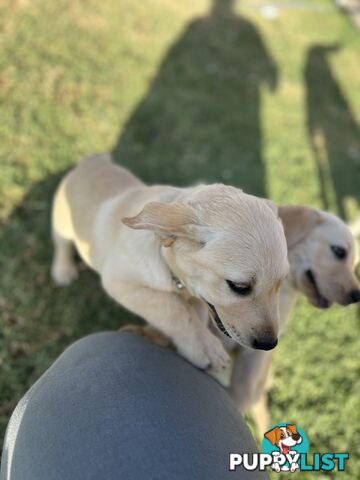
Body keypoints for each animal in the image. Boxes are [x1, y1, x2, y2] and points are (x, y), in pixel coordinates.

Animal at [50, 154, 288, 368]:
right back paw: (63, 270)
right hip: (62, 223)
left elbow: (194, 312)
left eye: (280, 284)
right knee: (62, 244)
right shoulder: (120, 282)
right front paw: (203, 346)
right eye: (239, 287)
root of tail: (91, 160)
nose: (268, 344)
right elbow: (172, 308)